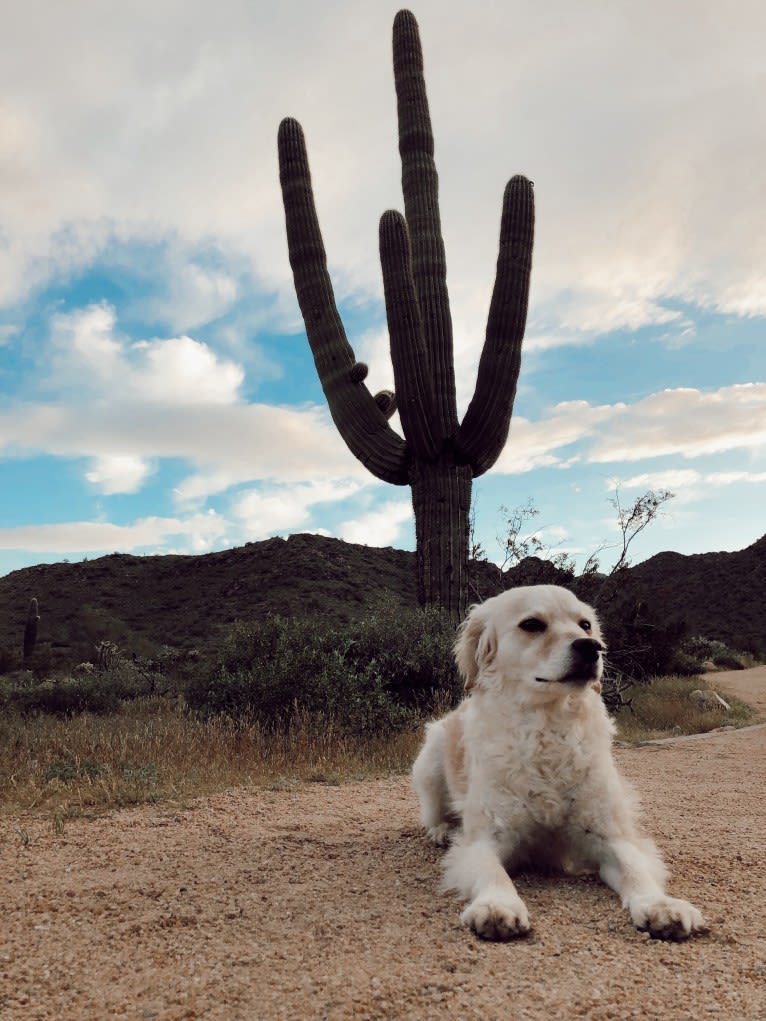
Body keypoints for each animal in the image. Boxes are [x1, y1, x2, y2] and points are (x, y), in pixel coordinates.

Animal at [414, 584, 706, 939]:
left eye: (585, 625)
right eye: (532, 624)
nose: (592, 647)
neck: (548, 728)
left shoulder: (610, 837)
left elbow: (635, 869)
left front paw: (660, 904)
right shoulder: (486, 839)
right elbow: (492, 872)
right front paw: (498, 904)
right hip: (431, 757)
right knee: (434, 813)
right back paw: (443, 830)